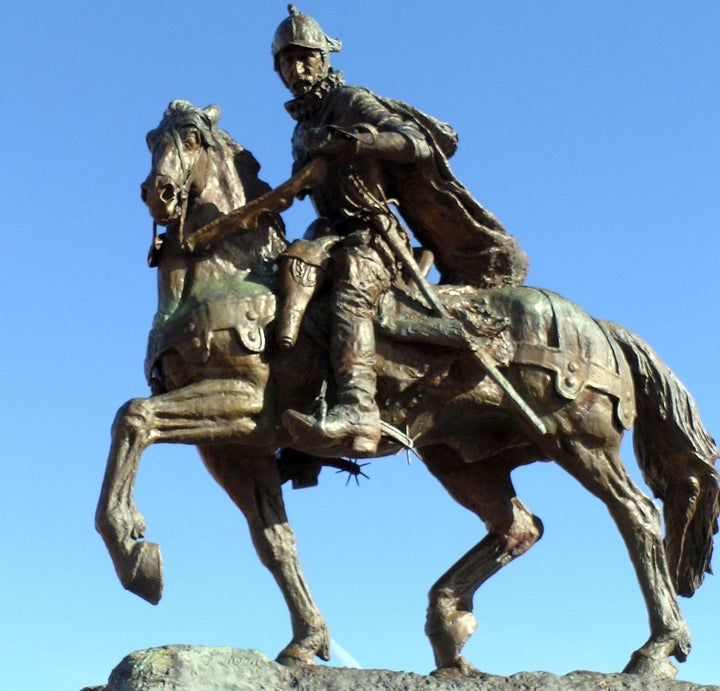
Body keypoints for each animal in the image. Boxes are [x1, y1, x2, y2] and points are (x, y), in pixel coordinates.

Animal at [97, 100, 720, 680]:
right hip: (463, 460)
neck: (229, 274)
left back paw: (655, 650)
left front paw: (133, 552)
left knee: (637, 515)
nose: (159, 192)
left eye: (191, 136)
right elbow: (275, 542)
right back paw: (449, 628)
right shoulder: (234, 449)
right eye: (151, 138)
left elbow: (134, 417)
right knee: (519, 526)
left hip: (579, 442)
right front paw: (306, 641)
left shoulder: (245, 406)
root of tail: (601, 327)